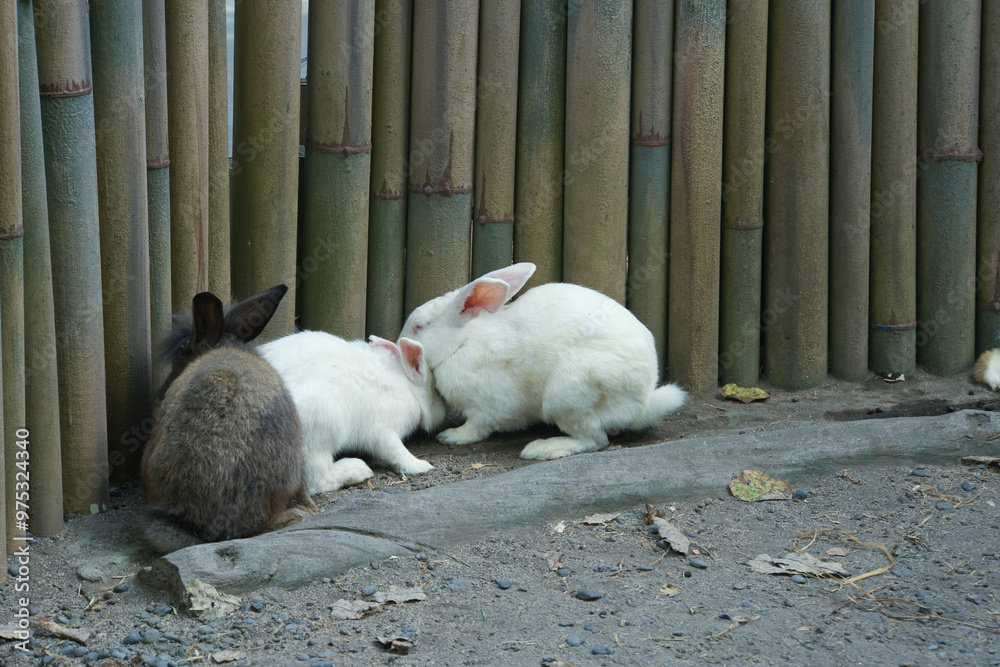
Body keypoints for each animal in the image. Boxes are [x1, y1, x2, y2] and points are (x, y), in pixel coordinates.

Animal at [257, 331, 446, 494]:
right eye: (437, 391)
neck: (407, 388)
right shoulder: (382, 431)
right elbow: (396, 451)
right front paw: (421, 465)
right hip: (320, 429)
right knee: (318, 480)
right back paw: (358, 470)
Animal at [399, 262, 687, 461]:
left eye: (420, 326)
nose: (399, 339)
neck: (461, 343)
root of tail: (642, 404)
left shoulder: (488, 407)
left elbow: (478, 427)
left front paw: (452, 437)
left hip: (567, 395)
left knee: (595, 439)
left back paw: (543, 448)